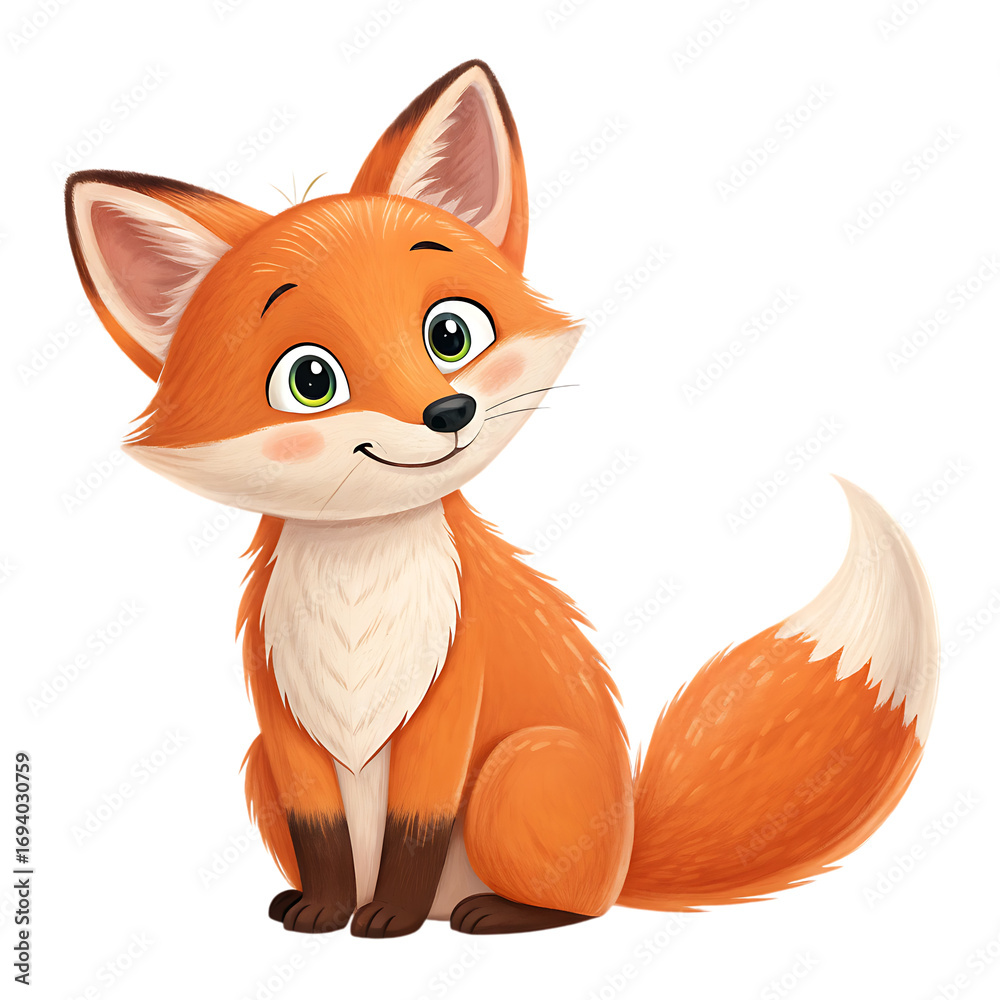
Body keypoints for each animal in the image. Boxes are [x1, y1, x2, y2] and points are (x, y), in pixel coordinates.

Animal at [64, 60, 938, 937]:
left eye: (450, 334)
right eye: (311, 379)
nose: (449, 412)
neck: (359, 599)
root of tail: (626, 845)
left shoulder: (454, 700)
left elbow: (417, 830)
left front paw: (386, 918)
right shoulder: (282, 723)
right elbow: (323, 837)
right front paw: (326, 909)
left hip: (521, 768)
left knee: (578, 908)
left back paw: (490, 912)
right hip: (258, 769)